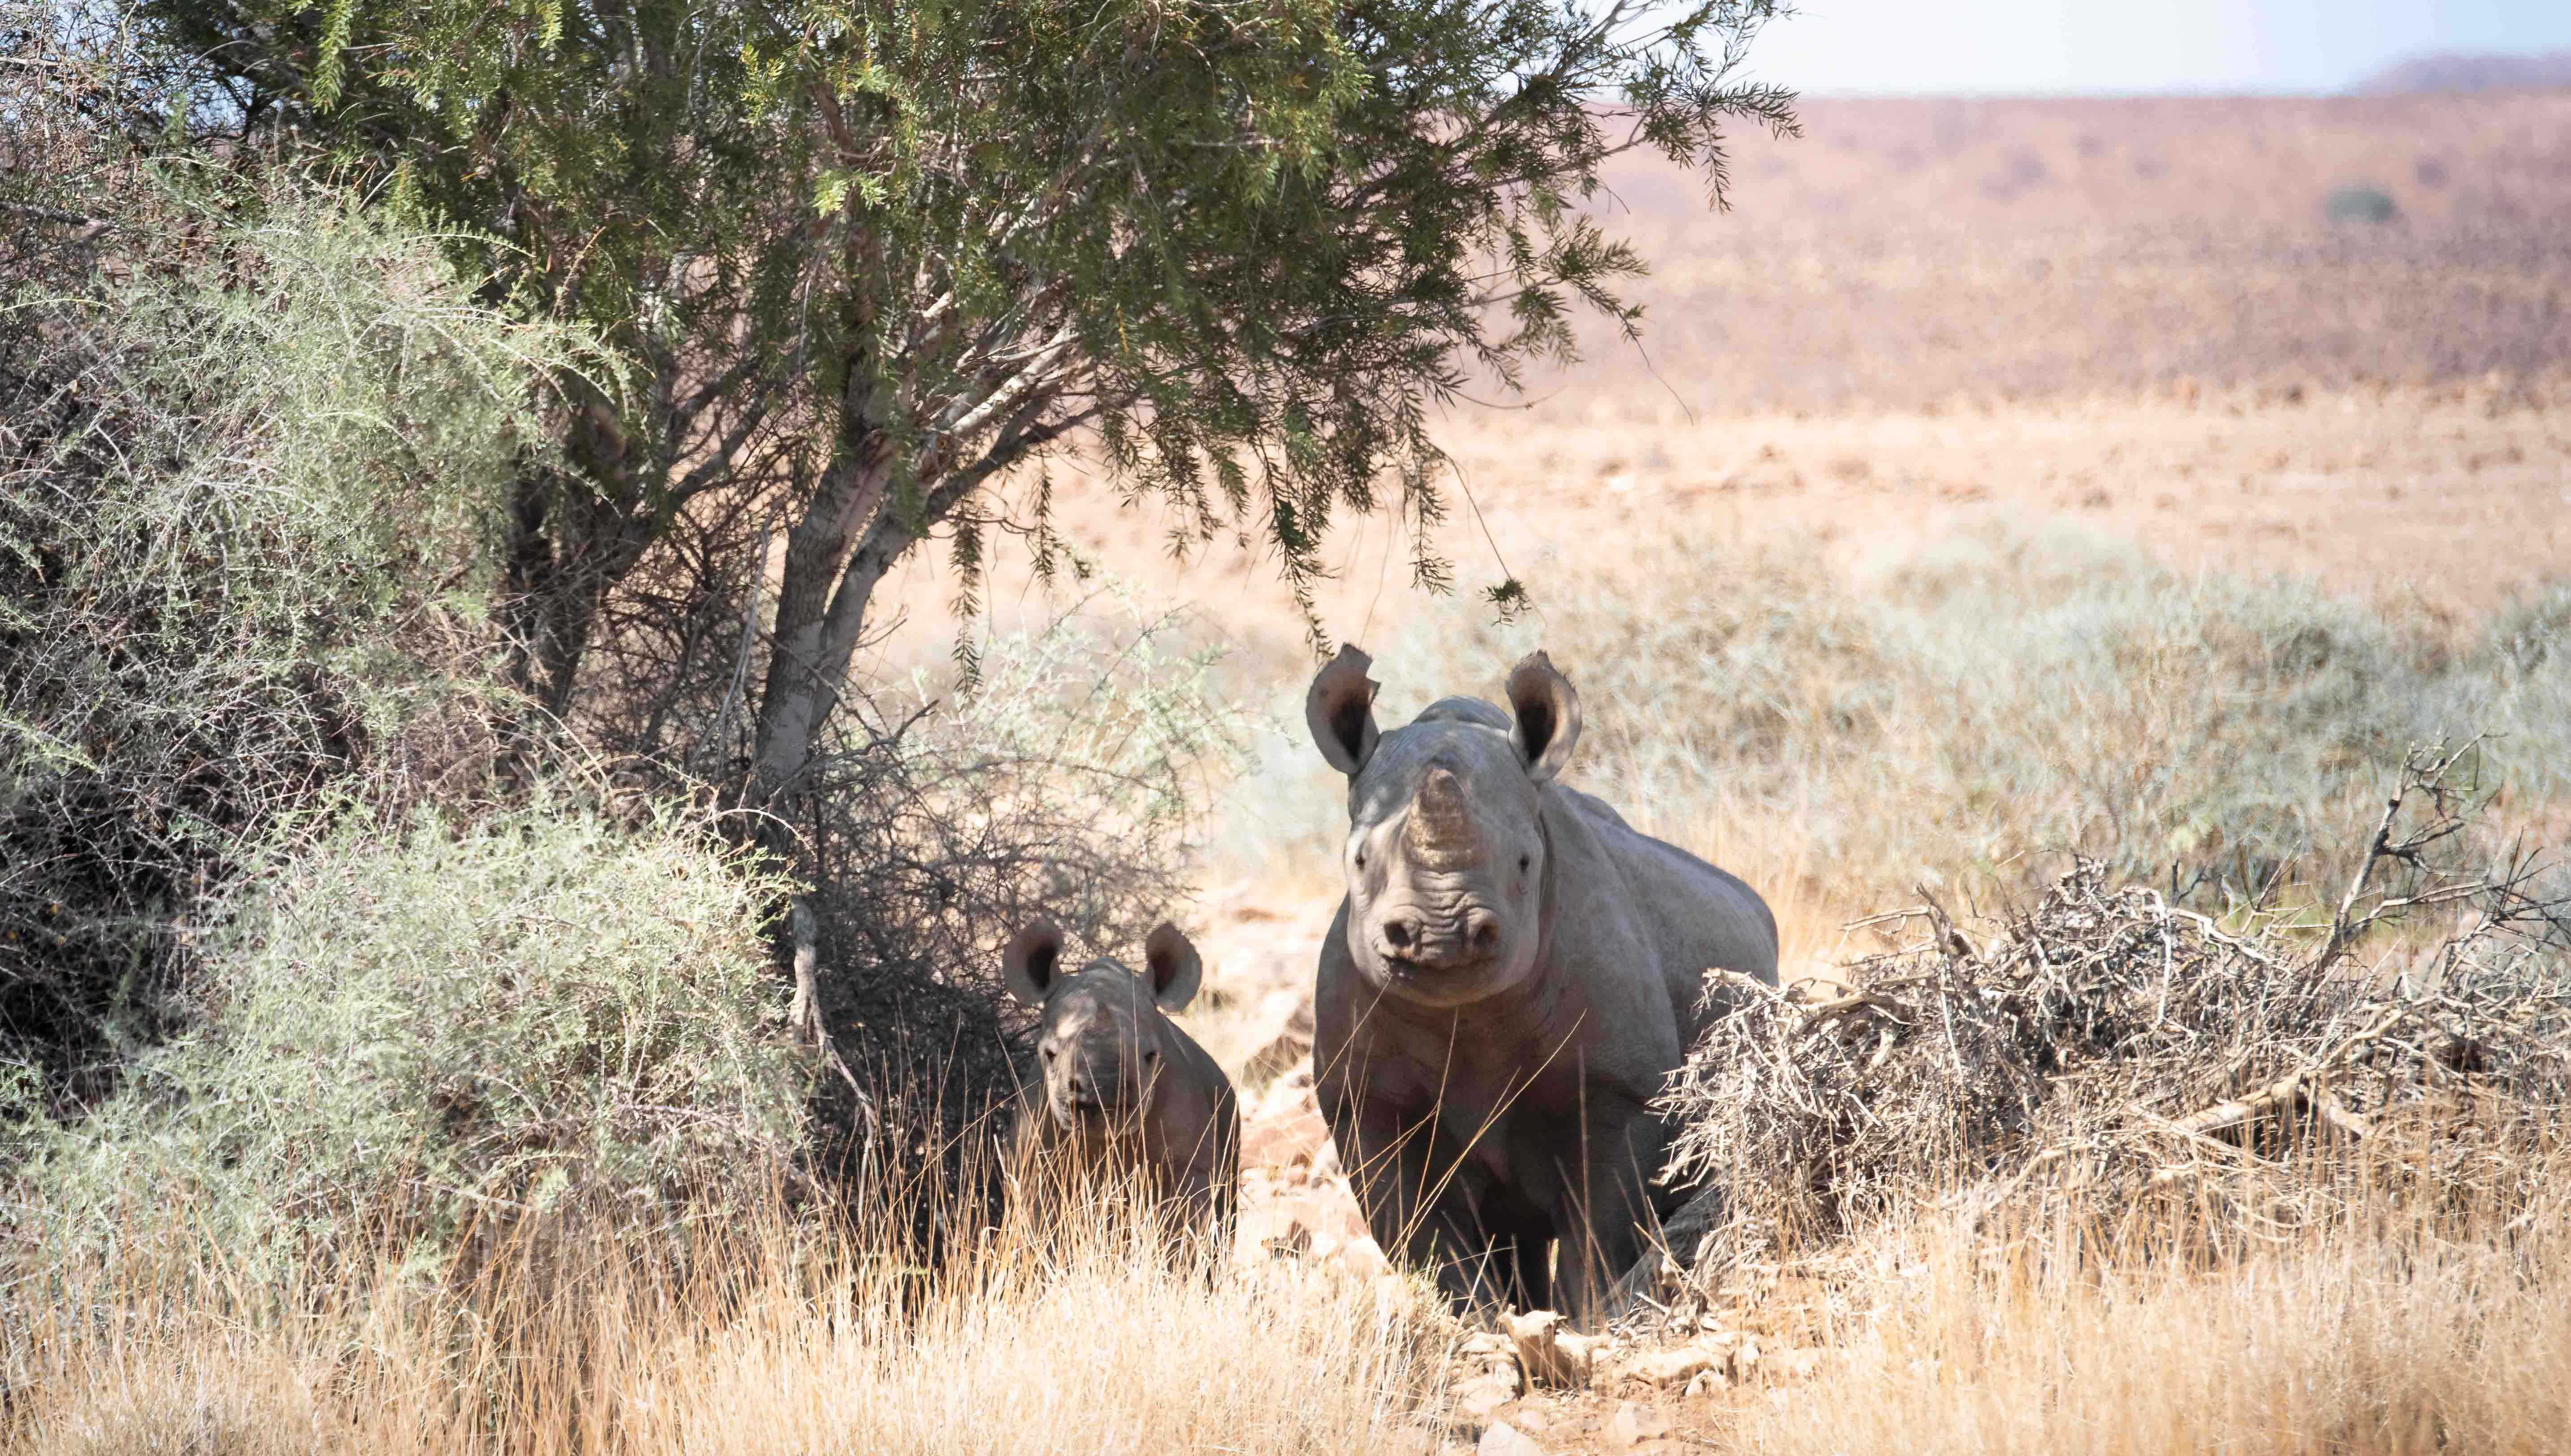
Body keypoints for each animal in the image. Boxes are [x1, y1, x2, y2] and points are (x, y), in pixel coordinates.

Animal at [1004, 920, 1239, 1248]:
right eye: (1049, 1054)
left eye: (1151, 1056)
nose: (1102, 1088)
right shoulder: (1032, 1162)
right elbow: (1042, 1229)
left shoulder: (1190, 1166)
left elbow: (1184, 1236)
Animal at [1305, 647, 1777, 1321]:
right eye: (1360, 861)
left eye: (1526, 863)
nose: (1441, 932)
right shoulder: (1365, 1100)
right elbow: (1421, 1232)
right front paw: (1479, 1321)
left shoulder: (1618, 1089)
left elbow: (1601, 1225)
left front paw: (1586, 1320)